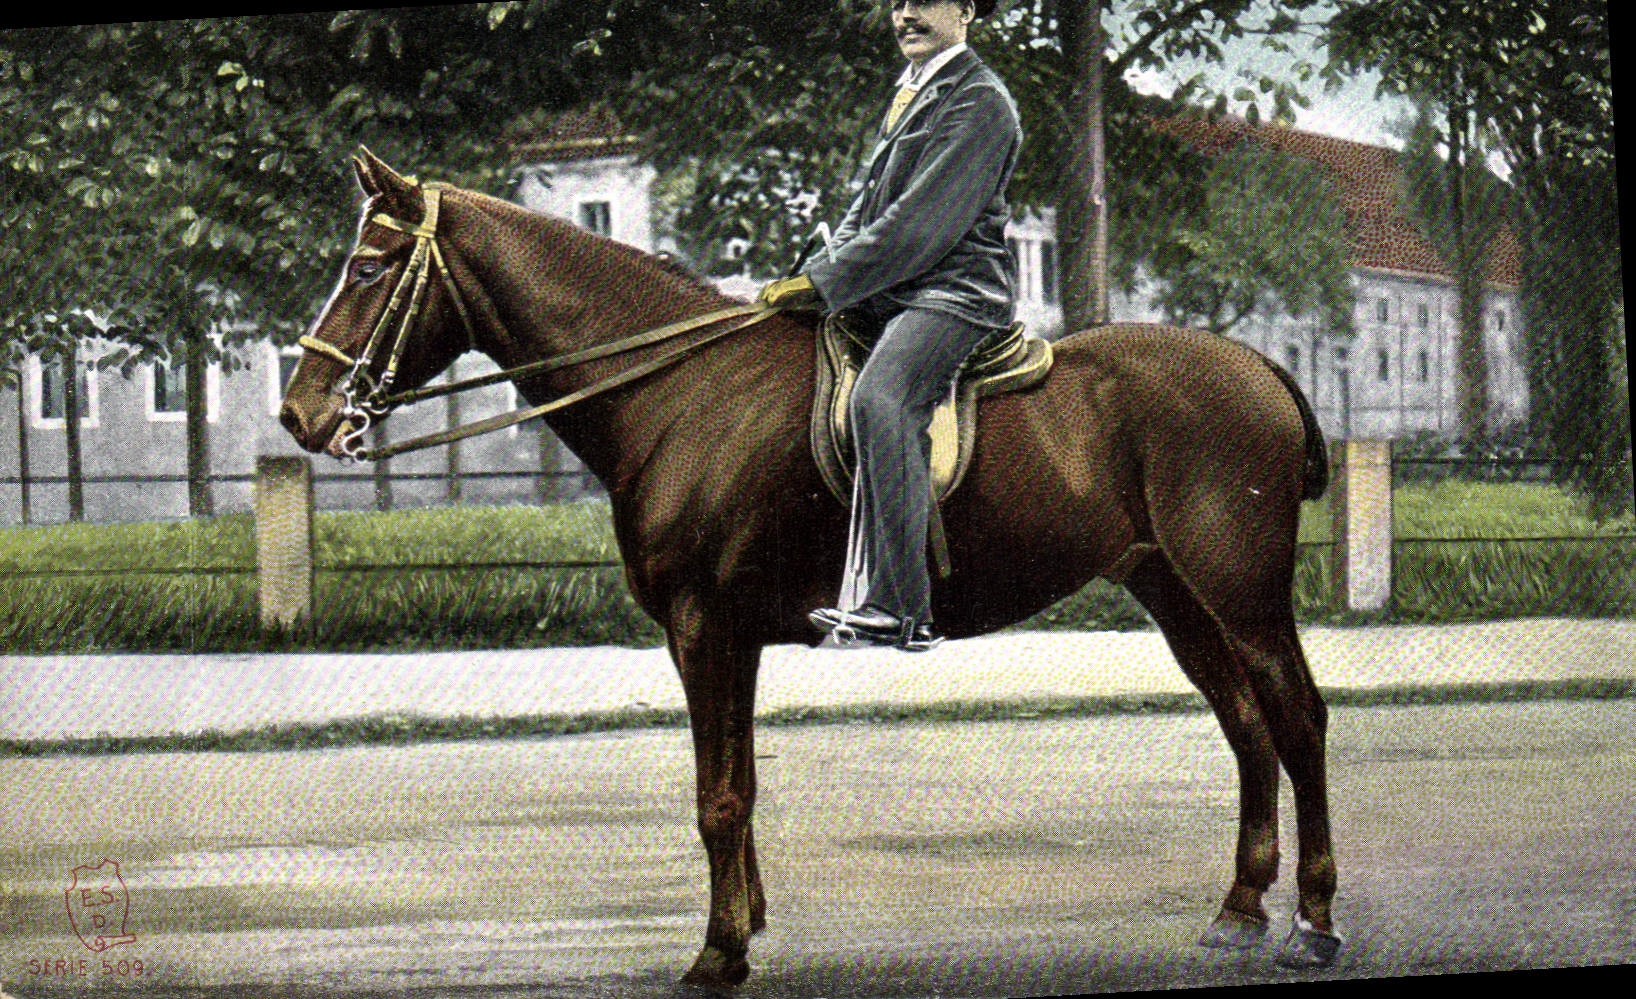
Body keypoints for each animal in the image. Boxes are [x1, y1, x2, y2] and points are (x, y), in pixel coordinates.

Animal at [279, 148, 1341, 987]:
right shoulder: (728, 635)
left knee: (1295, 718)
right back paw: (1240, 907)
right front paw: (743, 924)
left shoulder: (703, 626)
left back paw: (1315, 920)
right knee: (1246, 724)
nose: (300, 410)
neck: (679, 389)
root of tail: (1257, 368)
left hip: (1240, 591)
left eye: (368, 265)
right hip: (1173, 591)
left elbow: (717, 796)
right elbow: (739, 784)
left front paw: (717, 951)